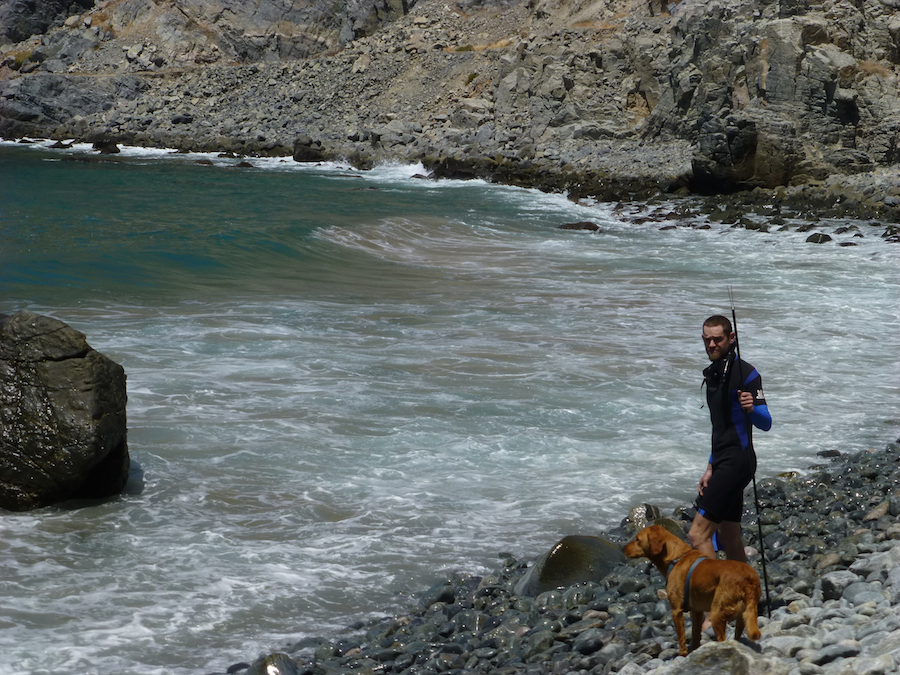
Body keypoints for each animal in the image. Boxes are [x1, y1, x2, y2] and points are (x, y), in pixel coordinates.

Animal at [624, 524, 760, 656]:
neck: (675, 557)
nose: (622, 548)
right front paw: (695, 648)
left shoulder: (676, 610)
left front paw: (683, 654)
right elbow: (695, 632)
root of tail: (748, 578)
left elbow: (681, 637)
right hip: (743, 616)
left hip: (717, 612)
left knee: (723, 638)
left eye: (637, 539)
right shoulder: (697, 611)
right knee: (737, 635)